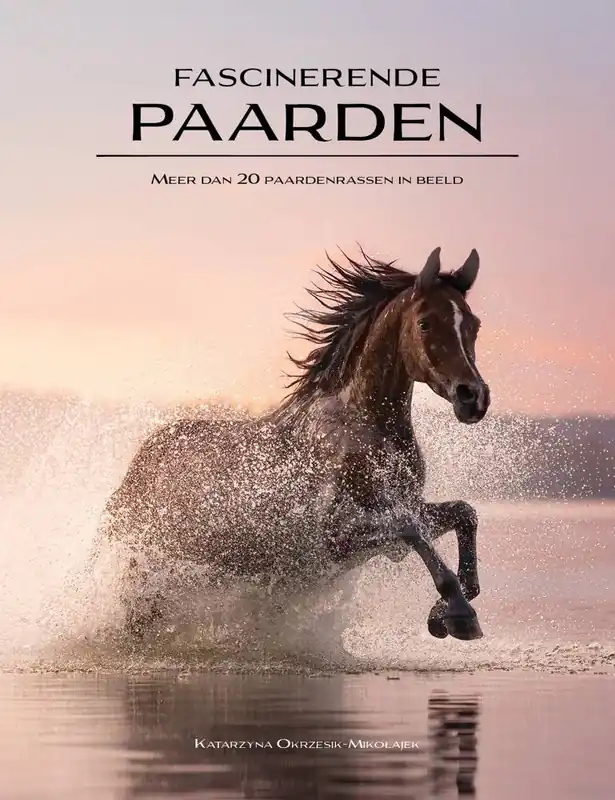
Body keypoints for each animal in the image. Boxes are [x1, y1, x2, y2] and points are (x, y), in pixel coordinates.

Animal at [97, 245, 490, 644]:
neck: (363, 432)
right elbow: (411, 531)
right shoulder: (334, 537)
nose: (473, 397)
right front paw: (459, 615)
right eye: (425, 322)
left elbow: (464, 514)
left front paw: (445, 612)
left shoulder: (406, 510)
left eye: (473, 325)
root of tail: (138, 465)